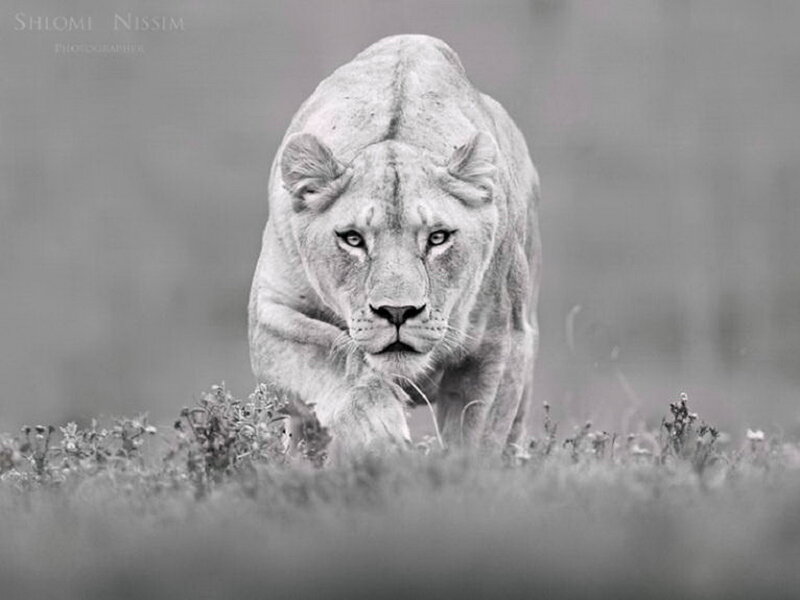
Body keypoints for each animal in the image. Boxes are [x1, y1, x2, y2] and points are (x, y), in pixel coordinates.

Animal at [249, 34, 541, 456]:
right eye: (353, 239)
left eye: (438, 237)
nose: (398, 312)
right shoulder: (270, 315)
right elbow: (333, 353)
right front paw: (378, 429)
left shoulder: (502, 342)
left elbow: (476, 439)